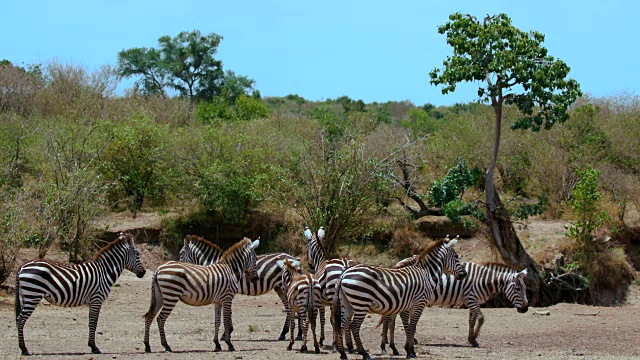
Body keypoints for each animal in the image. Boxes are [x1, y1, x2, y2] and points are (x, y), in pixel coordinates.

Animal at [15, 232, 146, 356]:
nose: (143, 273)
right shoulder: (96, 299)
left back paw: (22, 348)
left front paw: (91, 345)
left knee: (18, 320)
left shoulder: (93, 301)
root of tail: (22, 267)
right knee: (20, 320)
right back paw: (24, 349)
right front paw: (94, 347)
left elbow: (90, 322)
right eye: (137, 254)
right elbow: (93, 323)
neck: (105, 272)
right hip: (33, 295)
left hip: (27, 296)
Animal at [330, 236, 464, 360]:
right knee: (354, 326)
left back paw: (342, 353)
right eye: (457, 257)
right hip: (361, 303)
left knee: (341, 325)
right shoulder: (419, 304)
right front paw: (409, 351)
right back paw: (364, 353)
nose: (464, 275)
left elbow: (408, 327)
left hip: (347, 304)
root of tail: (344, 274)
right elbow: (411, 327)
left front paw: (409, 350)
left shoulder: (408, 306)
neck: (426, 275)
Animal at [380, 260, 528, 352]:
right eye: (518, 289)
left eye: (525, 289)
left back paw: (388, 341)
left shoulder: (472, 300)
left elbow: (472, 320)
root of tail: (398, 264)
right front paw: (475, 337)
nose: (525, 309)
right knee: (399, 316)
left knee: (391, 316)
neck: (483, 280)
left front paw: (471, 339)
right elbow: (481, 319)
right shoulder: (471, 299)